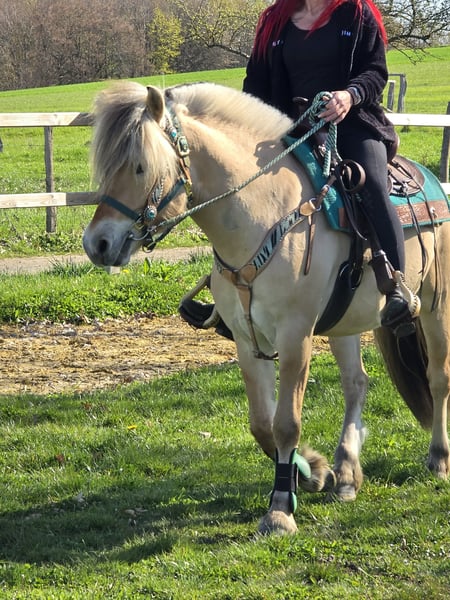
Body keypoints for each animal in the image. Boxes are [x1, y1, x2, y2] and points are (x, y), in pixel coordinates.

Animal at [82, 80, 450, 535]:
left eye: (139, 167)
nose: (96, 243)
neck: (264, 213)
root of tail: (433, 181)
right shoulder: (246, 339)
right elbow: (263, 425)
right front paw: (311, 472)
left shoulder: (295, 336)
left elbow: (286, 422)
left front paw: (279, 510)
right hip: (344, 325)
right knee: (357, 384)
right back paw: (347, 473)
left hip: (434, 306)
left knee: (438, 378)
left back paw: (438, 458)